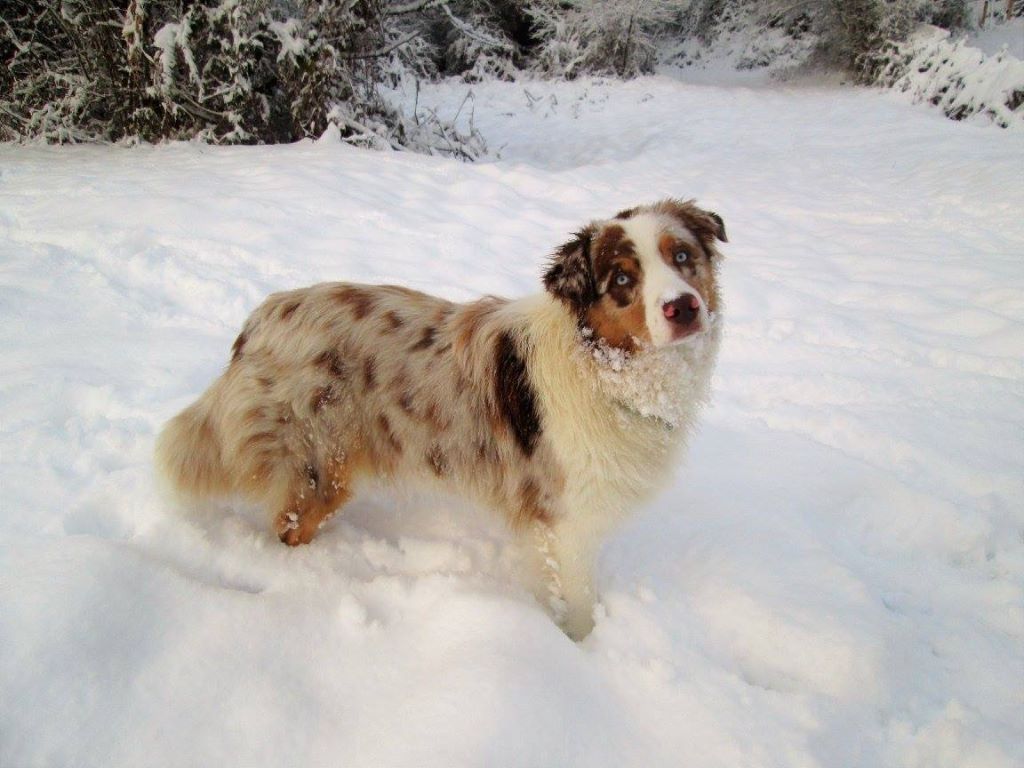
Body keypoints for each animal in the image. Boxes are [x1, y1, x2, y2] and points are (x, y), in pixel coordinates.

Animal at [156, 199, 727, 639]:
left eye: (682, 256)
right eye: (623, 279)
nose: (682, 308)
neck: (604, 366)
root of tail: (259, 321)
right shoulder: (560, 520)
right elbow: (578, 603)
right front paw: (581, 653)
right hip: (319, 461)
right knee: (288, 525)